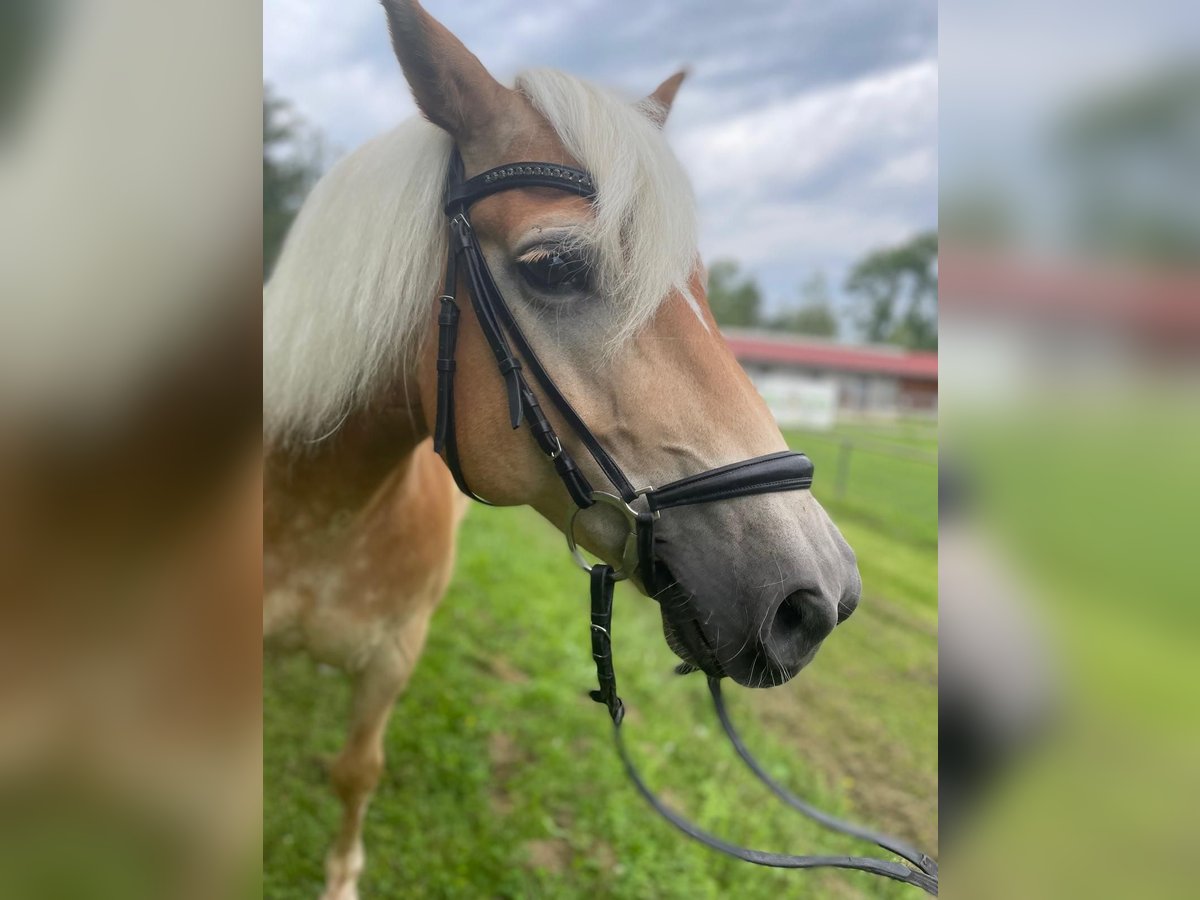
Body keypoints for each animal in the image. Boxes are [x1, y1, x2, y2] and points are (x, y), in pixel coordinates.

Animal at [262, 3, 864, 897]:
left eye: (698, 285)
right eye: (553, 266)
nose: (820, 596)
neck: (319, 511)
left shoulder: (391, 660)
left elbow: (355, 771)